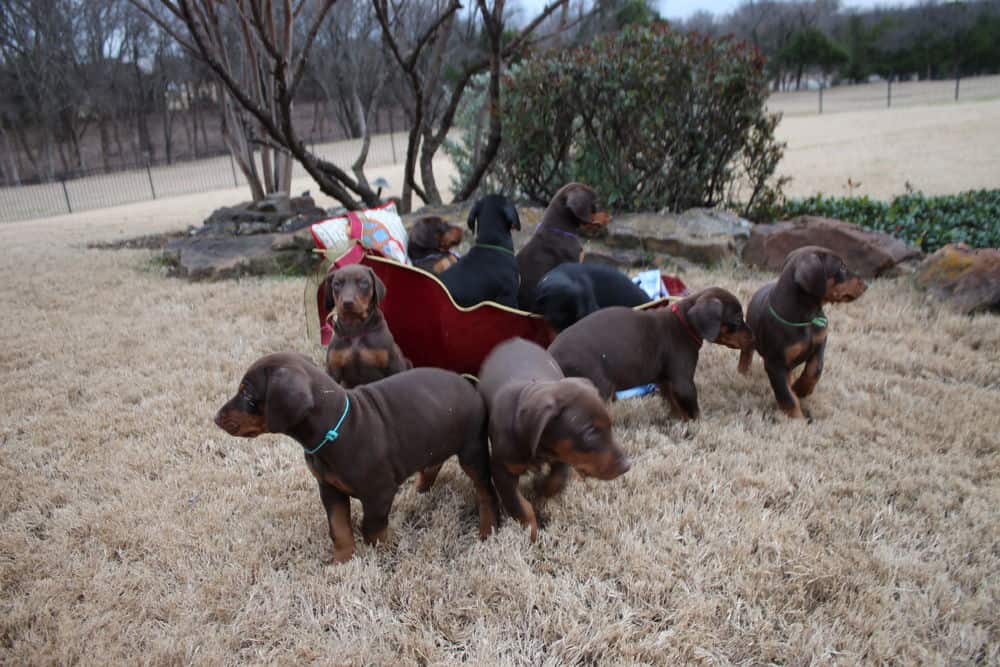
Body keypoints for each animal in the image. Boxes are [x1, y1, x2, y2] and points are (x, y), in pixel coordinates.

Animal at [219, 354, 500, 564]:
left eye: (247, 395)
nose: (216, 417)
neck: (334, 429)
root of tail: (467, 382)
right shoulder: (329, 488)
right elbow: (339, 528)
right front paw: (342, 561)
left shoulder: (379, 492)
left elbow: (371, 528)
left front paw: (382, 554)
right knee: (433, 463)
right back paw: (420, 491)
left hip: (472, 450)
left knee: (485, 490)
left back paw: (488, 529)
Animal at [478, 340, 632, 544]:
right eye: (589, 433)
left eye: (610, 425)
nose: (627, 465)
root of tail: (514, 340)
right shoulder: (502, 469)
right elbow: (519, 506)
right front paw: (532, 534)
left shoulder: (562, 454)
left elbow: (557, 481)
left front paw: (540, 487)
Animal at [548, 288, 752, 418]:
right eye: (737, 319)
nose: (754, 336)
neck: (684, 323)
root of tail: (551, 355)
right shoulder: (683, 381)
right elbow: (693, 409)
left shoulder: (665, 380)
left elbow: (674, 403)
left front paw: (678, 421)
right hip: (599, 385)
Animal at [740, 248, 864, 420]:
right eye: (842, 267)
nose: (866, 284)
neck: (807, 317)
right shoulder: (775, 364)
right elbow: (786, 395)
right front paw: (797, 419)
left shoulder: (820, 341)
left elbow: (815, 368)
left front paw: (800, 389)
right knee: (746, 352)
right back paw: (742, 372)